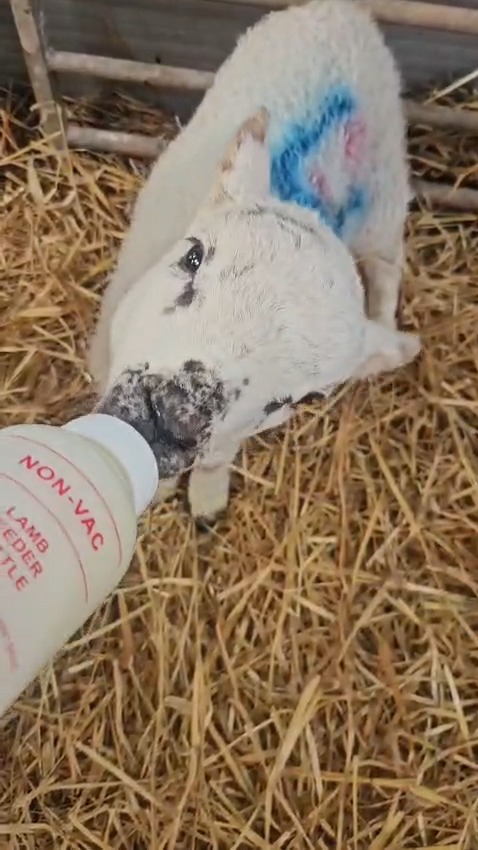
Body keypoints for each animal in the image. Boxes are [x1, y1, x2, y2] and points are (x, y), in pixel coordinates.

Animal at [89, 0, 421, 527]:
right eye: (193, 257)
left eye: (302, 398)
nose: (173, 417)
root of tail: (345, 10)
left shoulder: (236, 431)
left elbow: (217, 457)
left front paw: (206, 500)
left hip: (385, 201)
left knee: (387, 273)